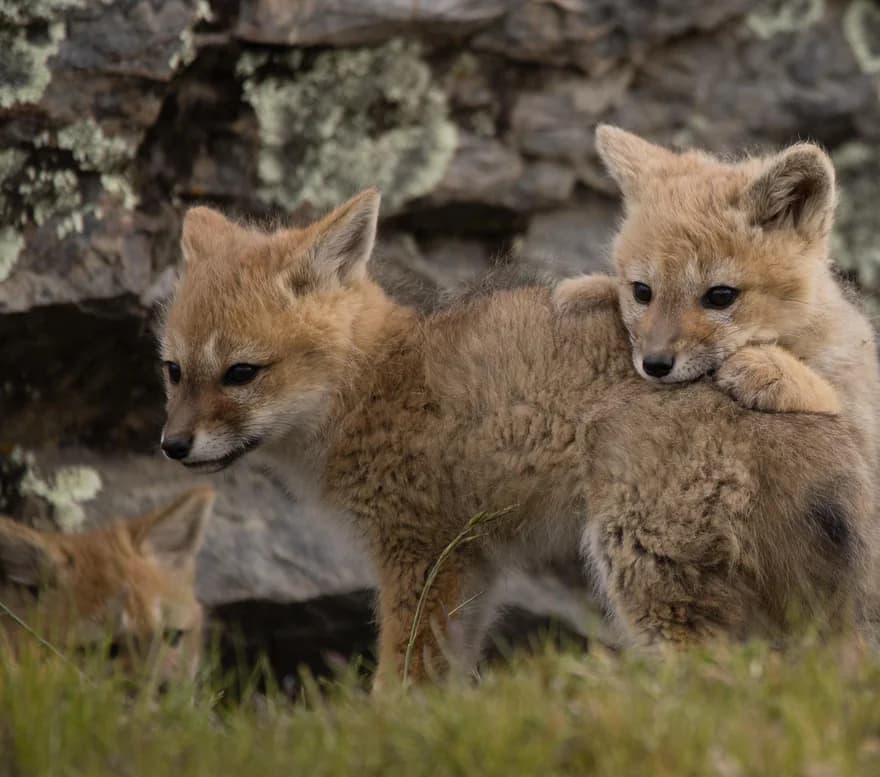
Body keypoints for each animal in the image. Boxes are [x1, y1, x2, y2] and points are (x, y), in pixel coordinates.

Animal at [159, 189, 874, 687]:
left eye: (241, 373)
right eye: (172, 371)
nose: (172, 446)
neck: (373, 380)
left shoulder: (420, 555)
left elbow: (400, 678)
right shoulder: (470, 564)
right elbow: (446, 679)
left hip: (646, 579)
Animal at [553, 126, 880, 470]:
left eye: (720, 296)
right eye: (642, 292)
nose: (654, 365)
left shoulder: (864, 436)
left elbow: (830, 397)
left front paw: (774, 370)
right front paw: (587, 289)